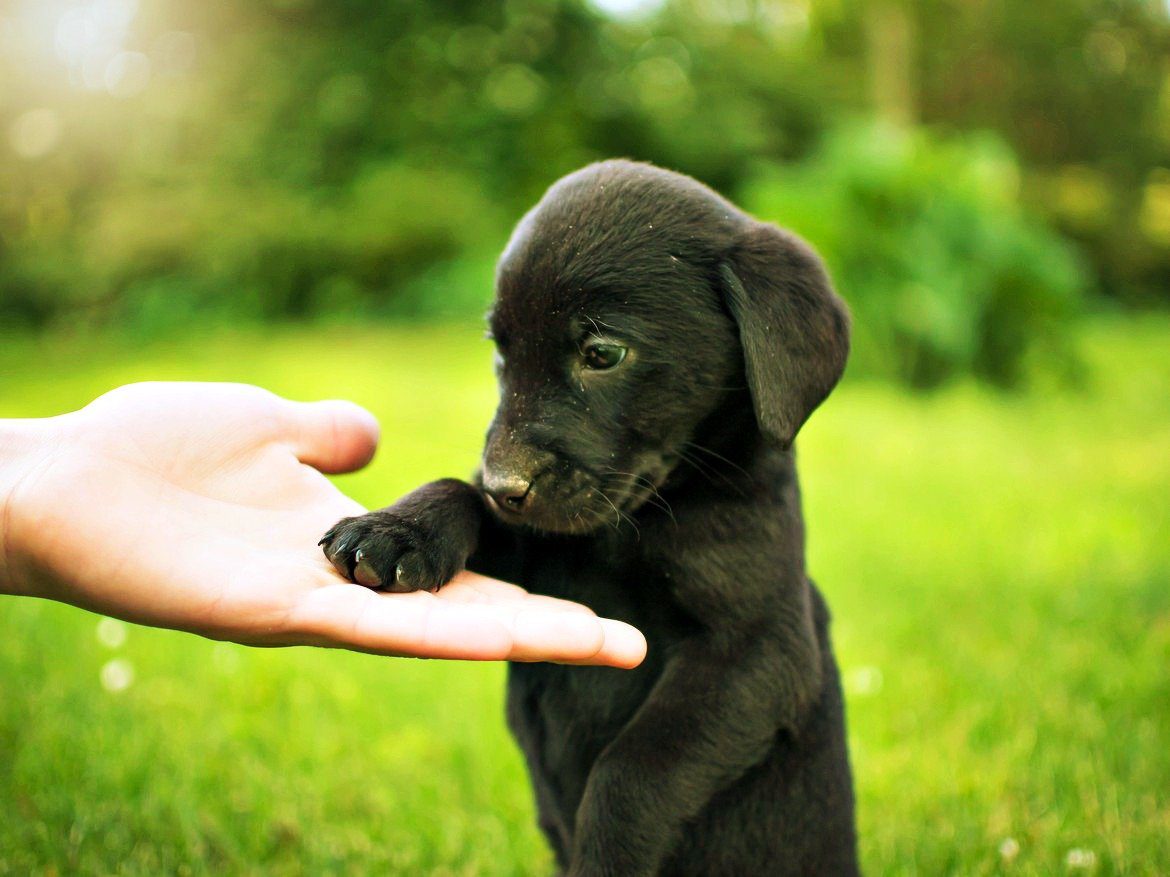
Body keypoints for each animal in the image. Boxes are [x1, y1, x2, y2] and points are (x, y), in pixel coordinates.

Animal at [320, 161, 861, 874]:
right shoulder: (535, 544)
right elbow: (455, 493)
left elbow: (630, 772)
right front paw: (397, 531)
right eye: (502, 355)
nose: (504, 485)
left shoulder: (758, 648)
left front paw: (606, 854)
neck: (632, 528)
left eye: (603, 354)